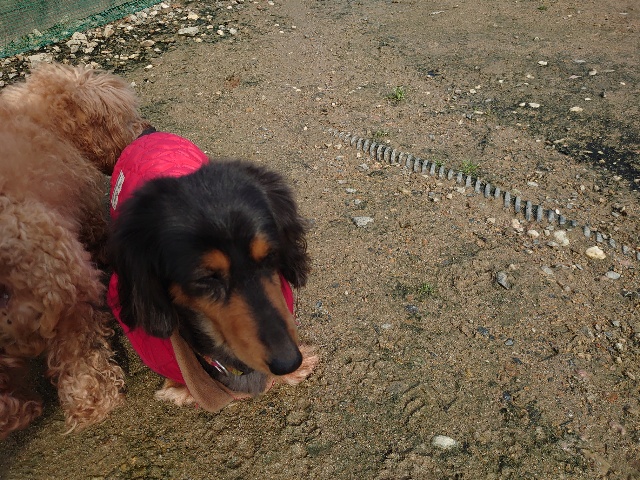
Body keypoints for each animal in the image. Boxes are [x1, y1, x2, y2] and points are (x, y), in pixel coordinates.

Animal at [0, 63, 147, 439]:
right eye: (127, 118)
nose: (142, 130)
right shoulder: (87, 208)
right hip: (64, 279)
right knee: (79, 351)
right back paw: (94, 402)